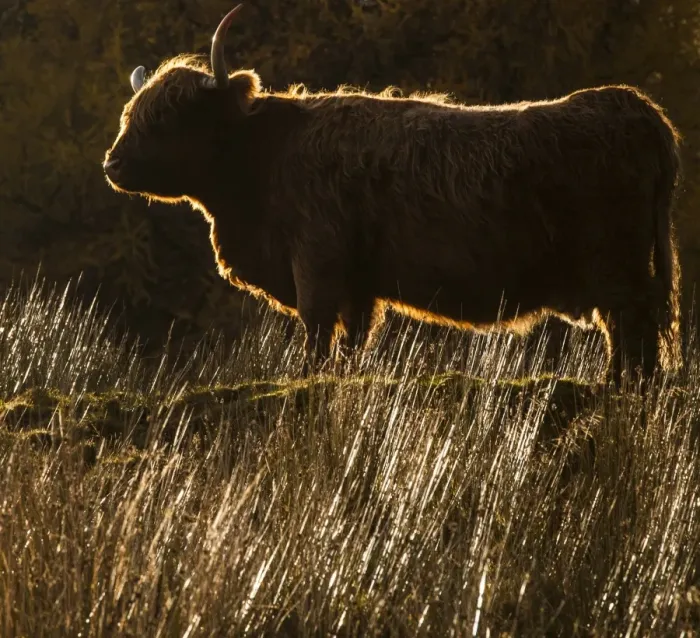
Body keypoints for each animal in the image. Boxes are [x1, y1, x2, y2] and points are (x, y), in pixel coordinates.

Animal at [103, 4, 683, 387]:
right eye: (132, 112)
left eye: (169, 117)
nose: (112, 164)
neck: (266, 157)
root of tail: (633, 106)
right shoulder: (360, 284)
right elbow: (353, 339)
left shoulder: (316, 262)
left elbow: (317, 331)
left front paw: (310, 378)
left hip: (618, 267)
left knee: (633, 330)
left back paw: (621, 387)